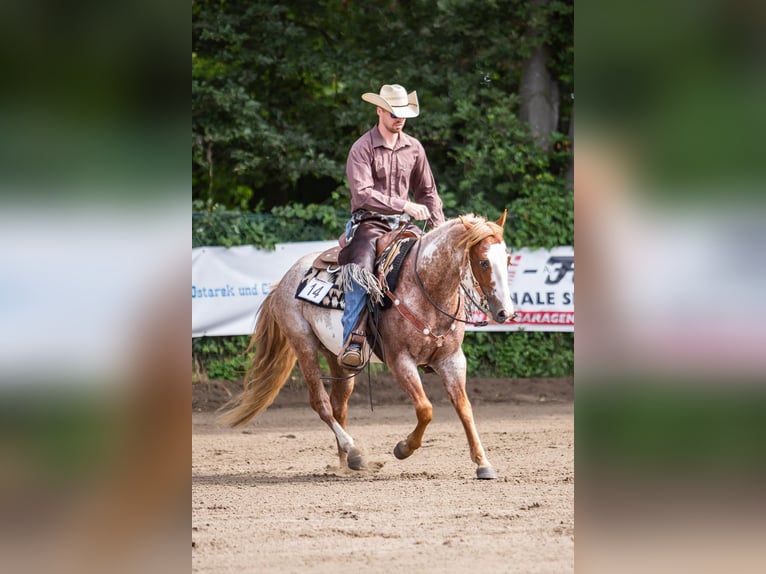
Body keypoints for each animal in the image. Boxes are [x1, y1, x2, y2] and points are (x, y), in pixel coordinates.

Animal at [218, 212, 514, 479]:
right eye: (483, 262)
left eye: (508, 259)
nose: (506, 313)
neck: (426, 288)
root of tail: (283, 282)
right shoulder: (400, 360)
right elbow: (425, 409)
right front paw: (403, 448)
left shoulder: (452, 359)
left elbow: (464, 408)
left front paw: (483, 463)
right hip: (303, 345)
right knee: (321, 403)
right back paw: (354, 451)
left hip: (337, 358)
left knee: (339, 405)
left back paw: (345, 462)